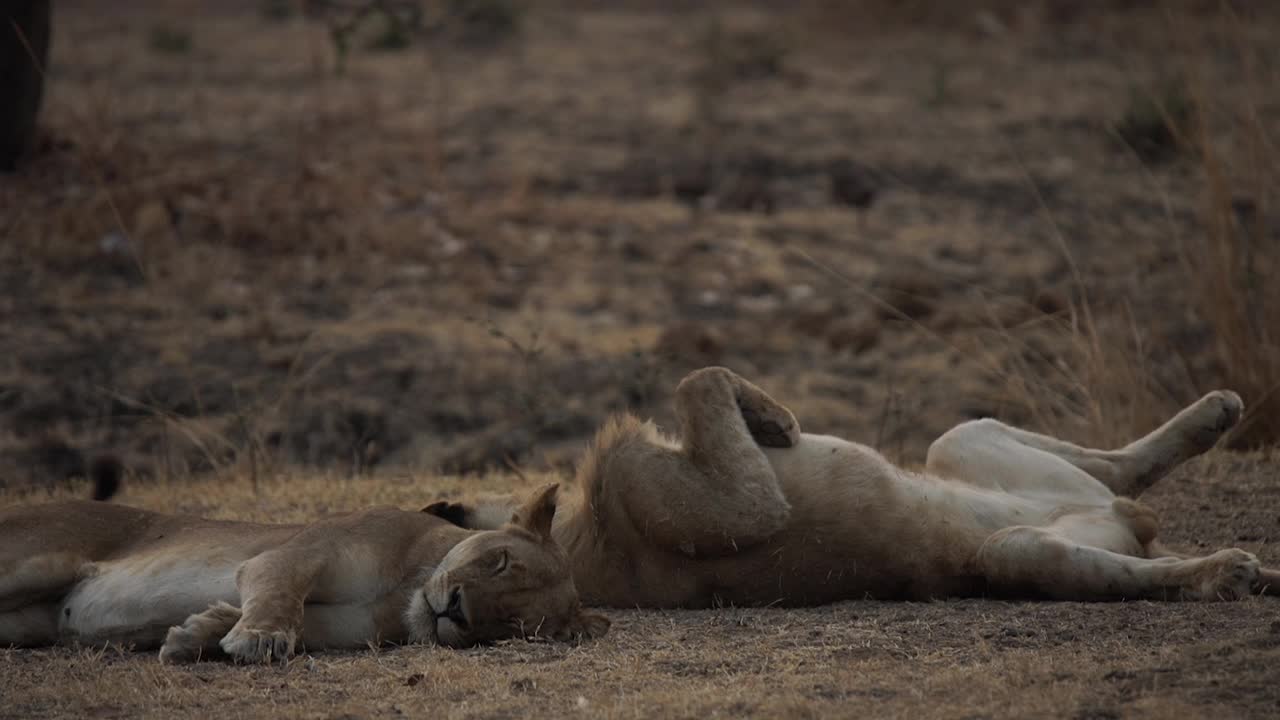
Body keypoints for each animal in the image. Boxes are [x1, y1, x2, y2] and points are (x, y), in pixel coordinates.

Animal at [0, 481, 609, 661]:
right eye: (499, 560)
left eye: (513, 625)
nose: (456, 611)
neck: (404, 590)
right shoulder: (297, 554)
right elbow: (280, 594)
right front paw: (256, 637)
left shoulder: (335, 629)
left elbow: (292, 624)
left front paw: (197, 633)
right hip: (33, 562)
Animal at [430, 363, 1280, 604]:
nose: (446, 602)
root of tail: (1122, 518)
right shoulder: (730, 506)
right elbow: (696, 379)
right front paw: (776, 419)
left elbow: (697, 380)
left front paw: (771, 419)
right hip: (1017, 552)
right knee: (1125, 546)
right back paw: (1228, 572)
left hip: (961, 440)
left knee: (1117, 469)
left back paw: (1217, 414)